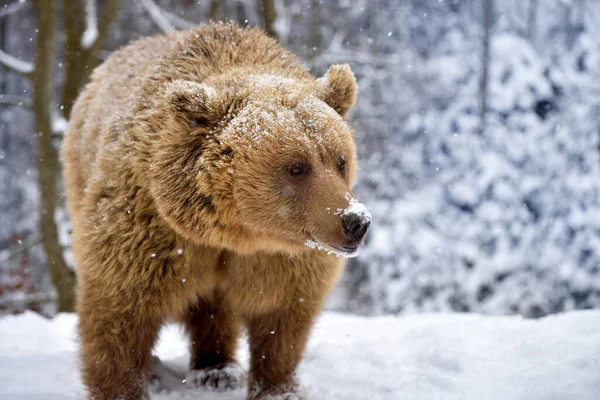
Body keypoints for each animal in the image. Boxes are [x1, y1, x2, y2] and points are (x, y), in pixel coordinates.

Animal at [61, 22, 370, 400]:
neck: (235, 233)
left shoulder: (281, 258)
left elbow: (281, 318)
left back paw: (217, 370)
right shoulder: (149, 227)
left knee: (214, 308)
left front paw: (278, 387)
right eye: (297, 167)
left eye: (340, 160)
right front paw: (124, 388)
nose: (356, 221)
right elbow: (120, 308)